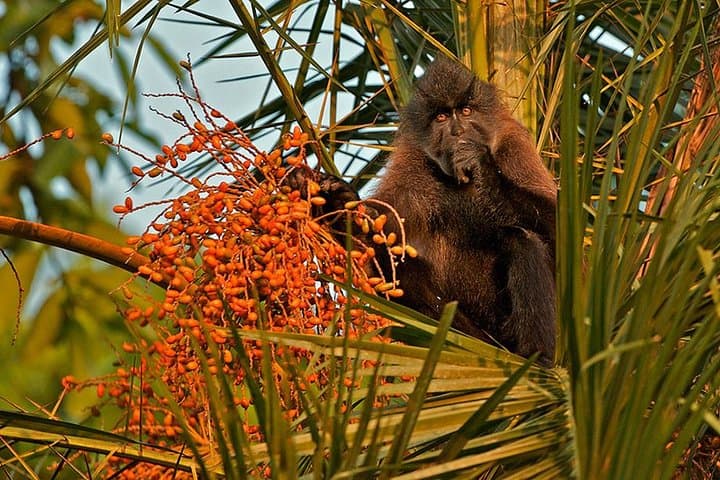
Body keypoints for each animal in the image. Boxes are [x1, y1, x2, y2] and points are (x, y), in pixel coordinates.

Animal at [287, 56, 557, 365]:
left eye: (465, 111)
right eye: (441, 117)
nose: (457, 133)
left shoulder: (513, 147)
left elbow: (562, 232)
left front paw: (481, 165)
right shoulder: (411, 170)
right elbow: (375, 256)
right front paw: (336, 203)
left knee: (522, 239)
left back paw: (534, 357)